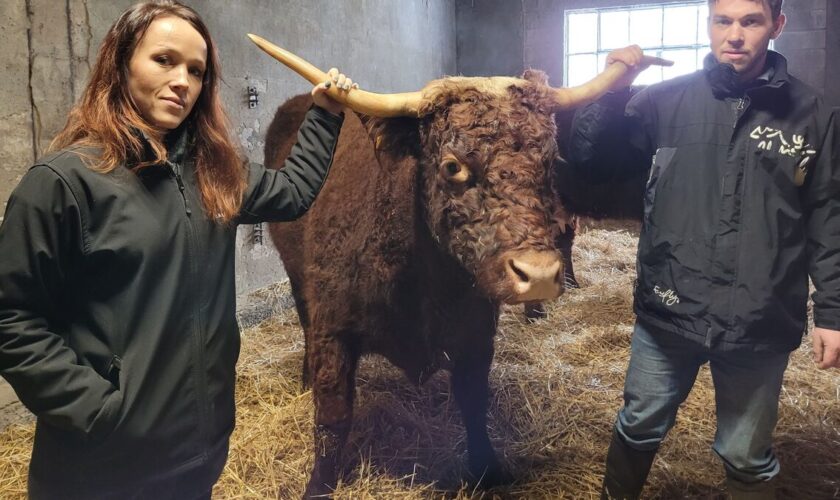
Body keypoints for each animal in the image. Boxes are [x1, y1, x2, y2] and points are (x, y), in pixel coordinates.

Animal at [249, 35, 656, 496]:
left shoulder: (476, 333)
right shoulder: (332, 330)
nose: (537, 275)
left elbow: (474, 405)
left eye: (550, 160)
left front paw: (487, 471)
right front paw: (319, 485)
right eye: (452, 165)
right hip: (297, 279)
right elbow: (333, 418)